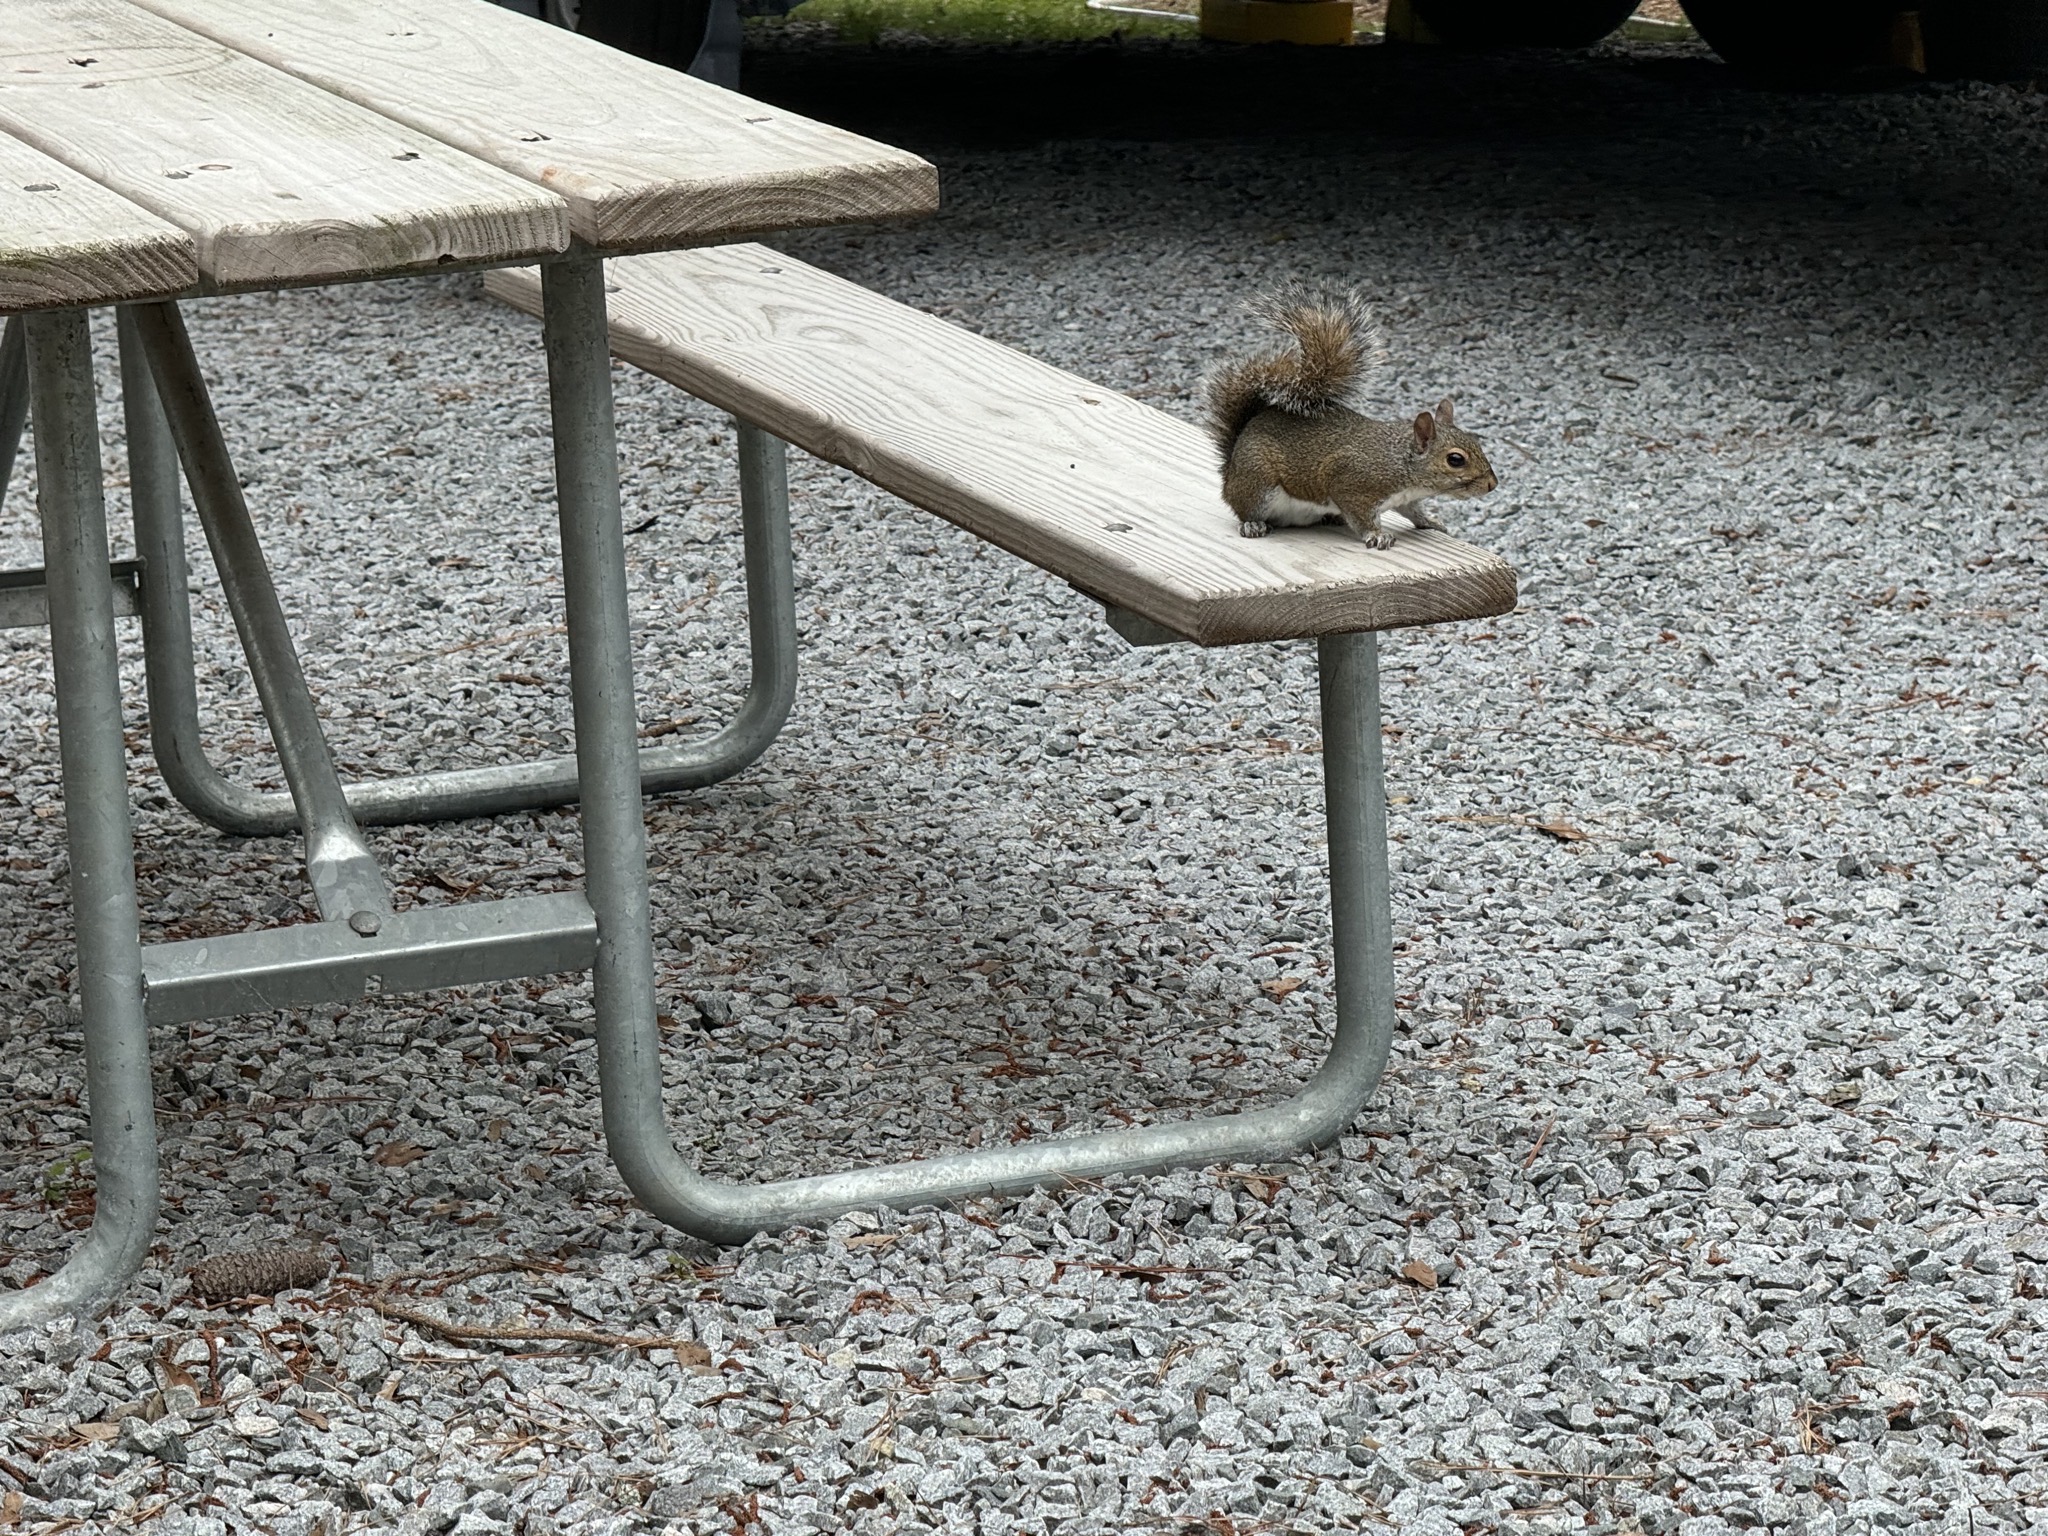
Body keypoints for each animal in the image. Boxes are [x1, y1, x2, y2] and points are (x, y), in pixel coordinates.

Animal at [1205, 290, 1498, 548]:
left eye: (1477, 443)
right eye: (1455, 460)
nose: (1492, 485)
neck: (1400, 463)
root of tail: (1230, 470)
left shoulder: (1405, 499)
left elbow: (1413, 512)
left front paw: (1431, 522)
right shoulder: (1351, 483)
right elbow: (1361, 516)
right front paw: (1377, 535)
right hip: (1257, 481)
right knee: (1245, 508)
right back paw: (1252, 524)